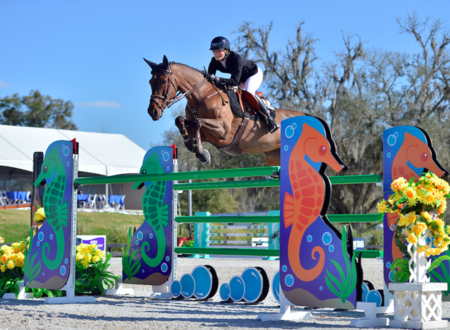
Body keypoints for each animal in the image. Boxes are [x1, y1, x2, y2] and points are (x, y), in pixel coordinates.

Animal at [146, 55, 304, 168]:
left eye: (163, 81)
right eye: (150, 82)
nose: (152, 112)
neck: (201, 97)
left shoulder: (224, 132)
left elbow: (197, 121)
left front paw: (202, 154)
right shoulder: (206, 134)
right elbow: (180, 121)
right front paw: (197, 149)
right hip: (274, 156)